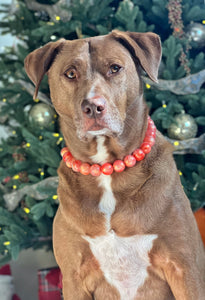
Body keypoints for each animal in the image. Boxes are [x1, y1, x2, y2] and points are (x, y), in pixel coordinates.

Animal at [24, 31, 205, 300]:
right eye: (70, 73)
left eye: (115, 68)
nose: (92, 106)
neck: (106, 169)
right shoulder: (74, 278)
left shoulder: (184, 268)